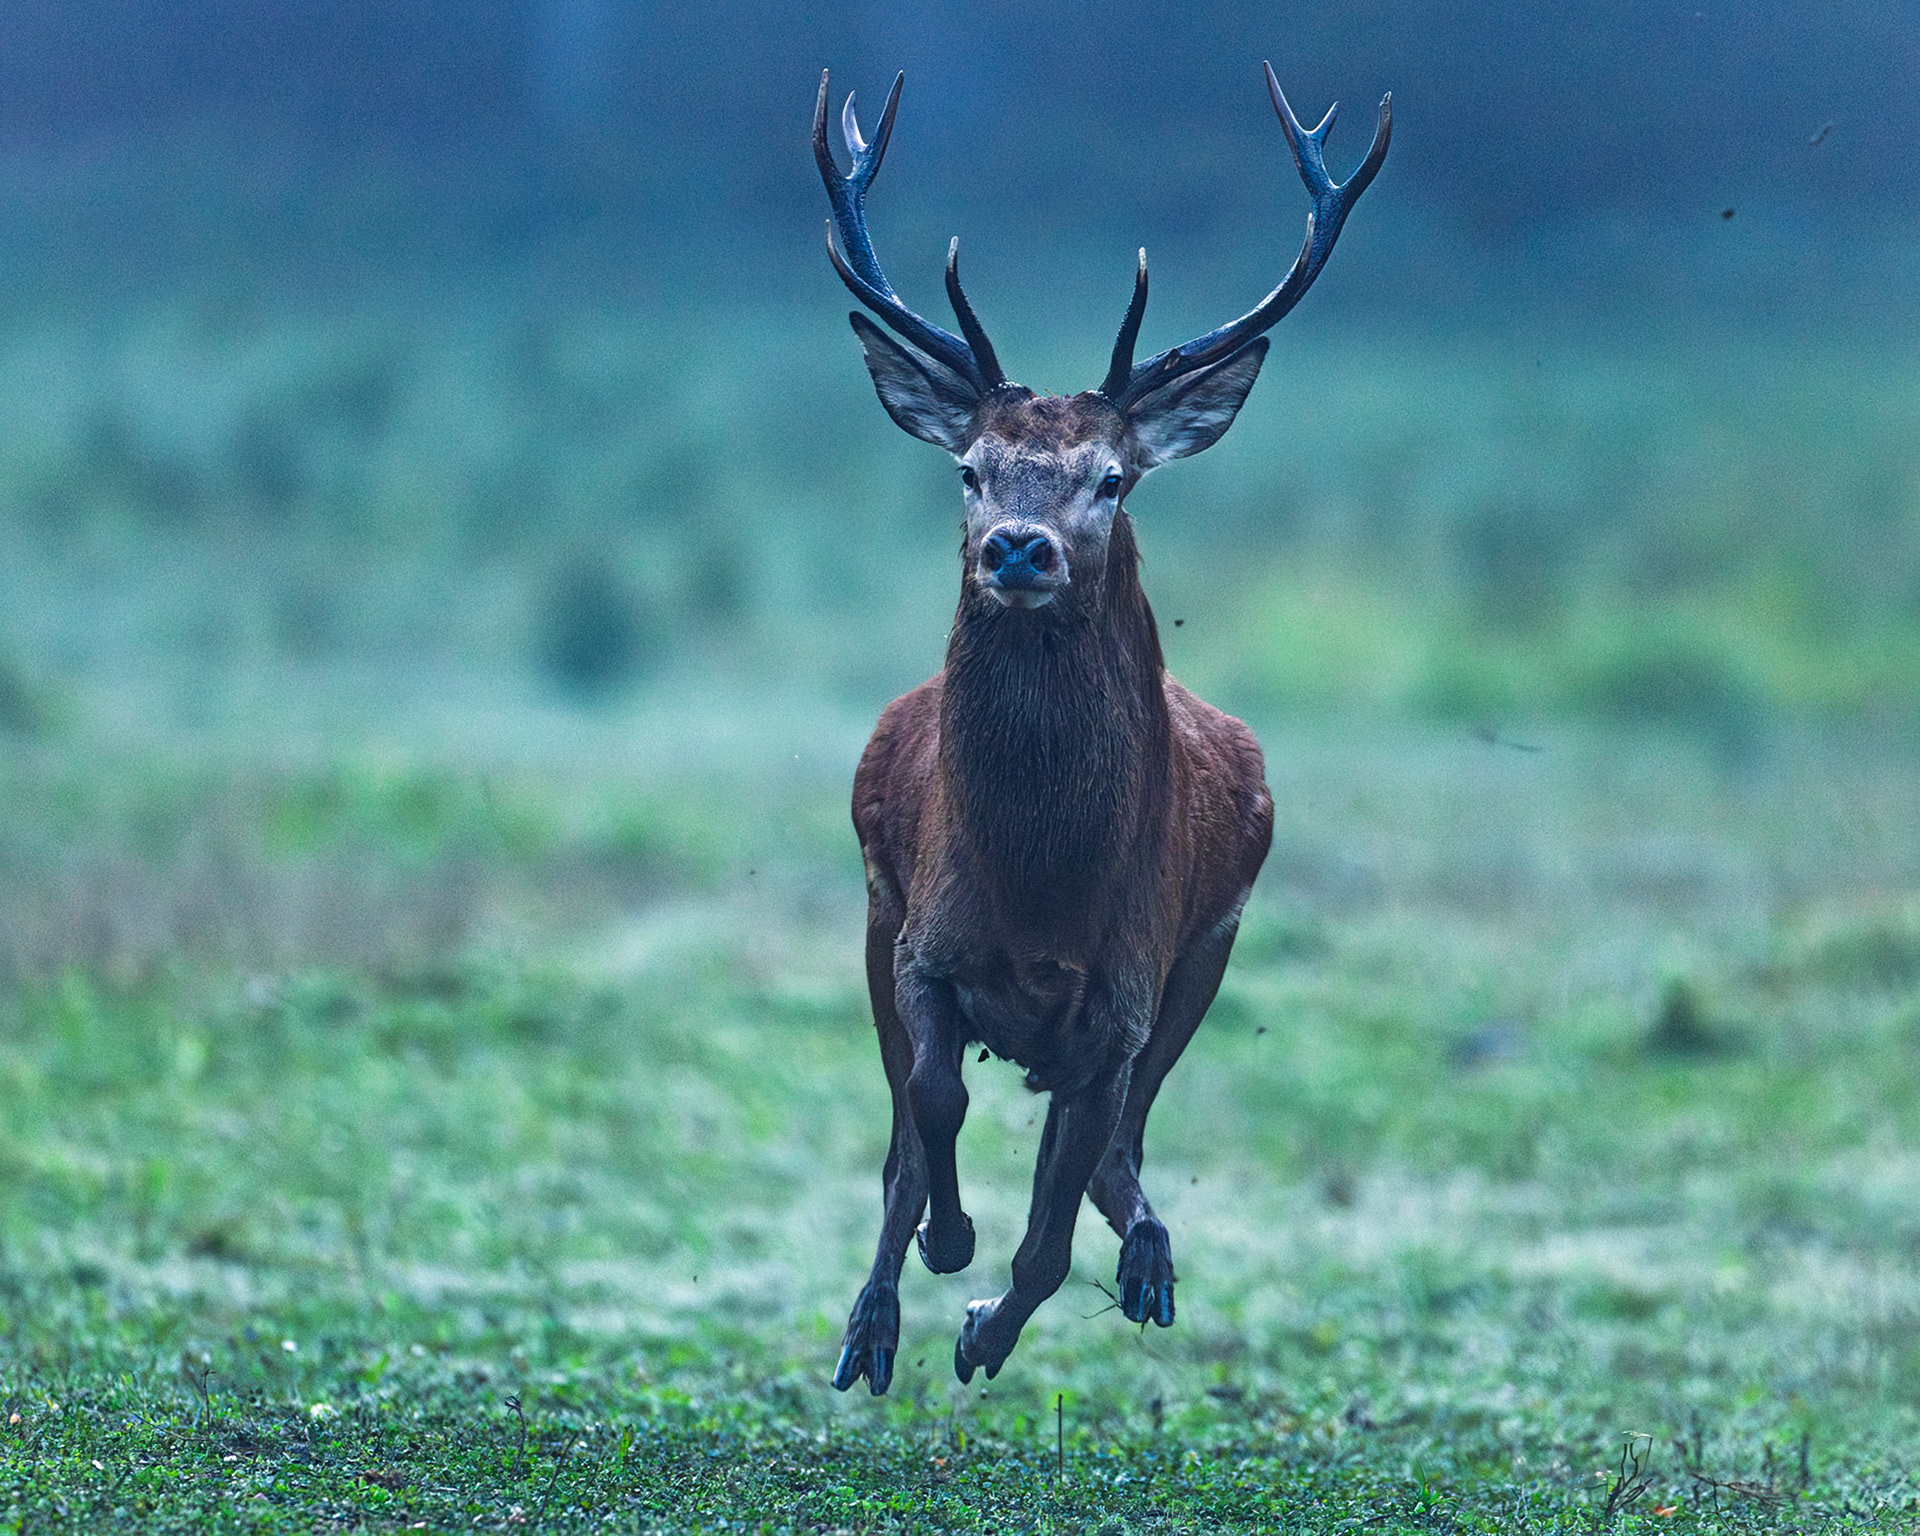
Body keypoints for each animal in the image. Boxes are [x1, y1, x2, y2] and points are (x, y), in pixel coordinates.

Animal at [815, 59, 1390, 1394]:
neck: (1040, 896)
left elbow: (1050, 1231)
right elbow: (930, 1111)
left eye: (1112, 478)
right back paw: (879, 1316)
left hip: (1207, 959)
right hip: (871, 908)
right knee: (905, 1139)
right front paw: (940, 1253)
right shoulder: (918, 937)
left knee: (1121, 1152)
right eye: (969, 466)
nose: (1017, 550)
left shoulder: (1125, 1000)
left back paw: (1148, 1258)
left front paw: (985, 1328)